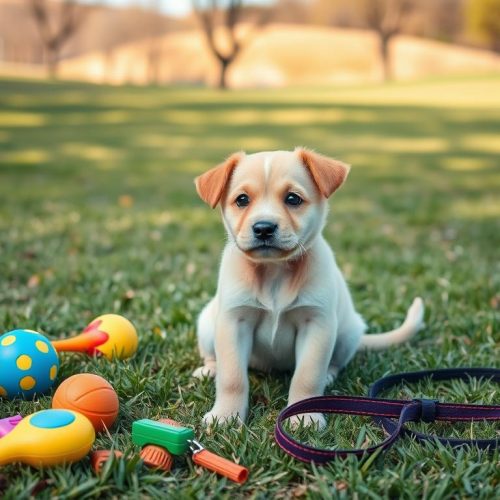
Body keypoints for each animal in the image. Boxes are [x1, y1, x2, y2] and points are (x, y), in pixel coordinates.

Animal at [193, 147, 424, 426]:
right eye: (242, 200)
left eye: (293, 199)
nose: (263, 228)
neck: (274, 271)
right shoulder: (233, 322)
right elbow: (232, 378)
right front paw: (225, 416)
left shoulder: (317, 324)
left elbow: (307, 376)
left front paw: (305, 416)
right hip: (207, 324)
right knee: (213, 357)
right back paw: (209, 370)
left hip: (346, 333)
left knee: (334, 364)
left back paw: (329, 376)